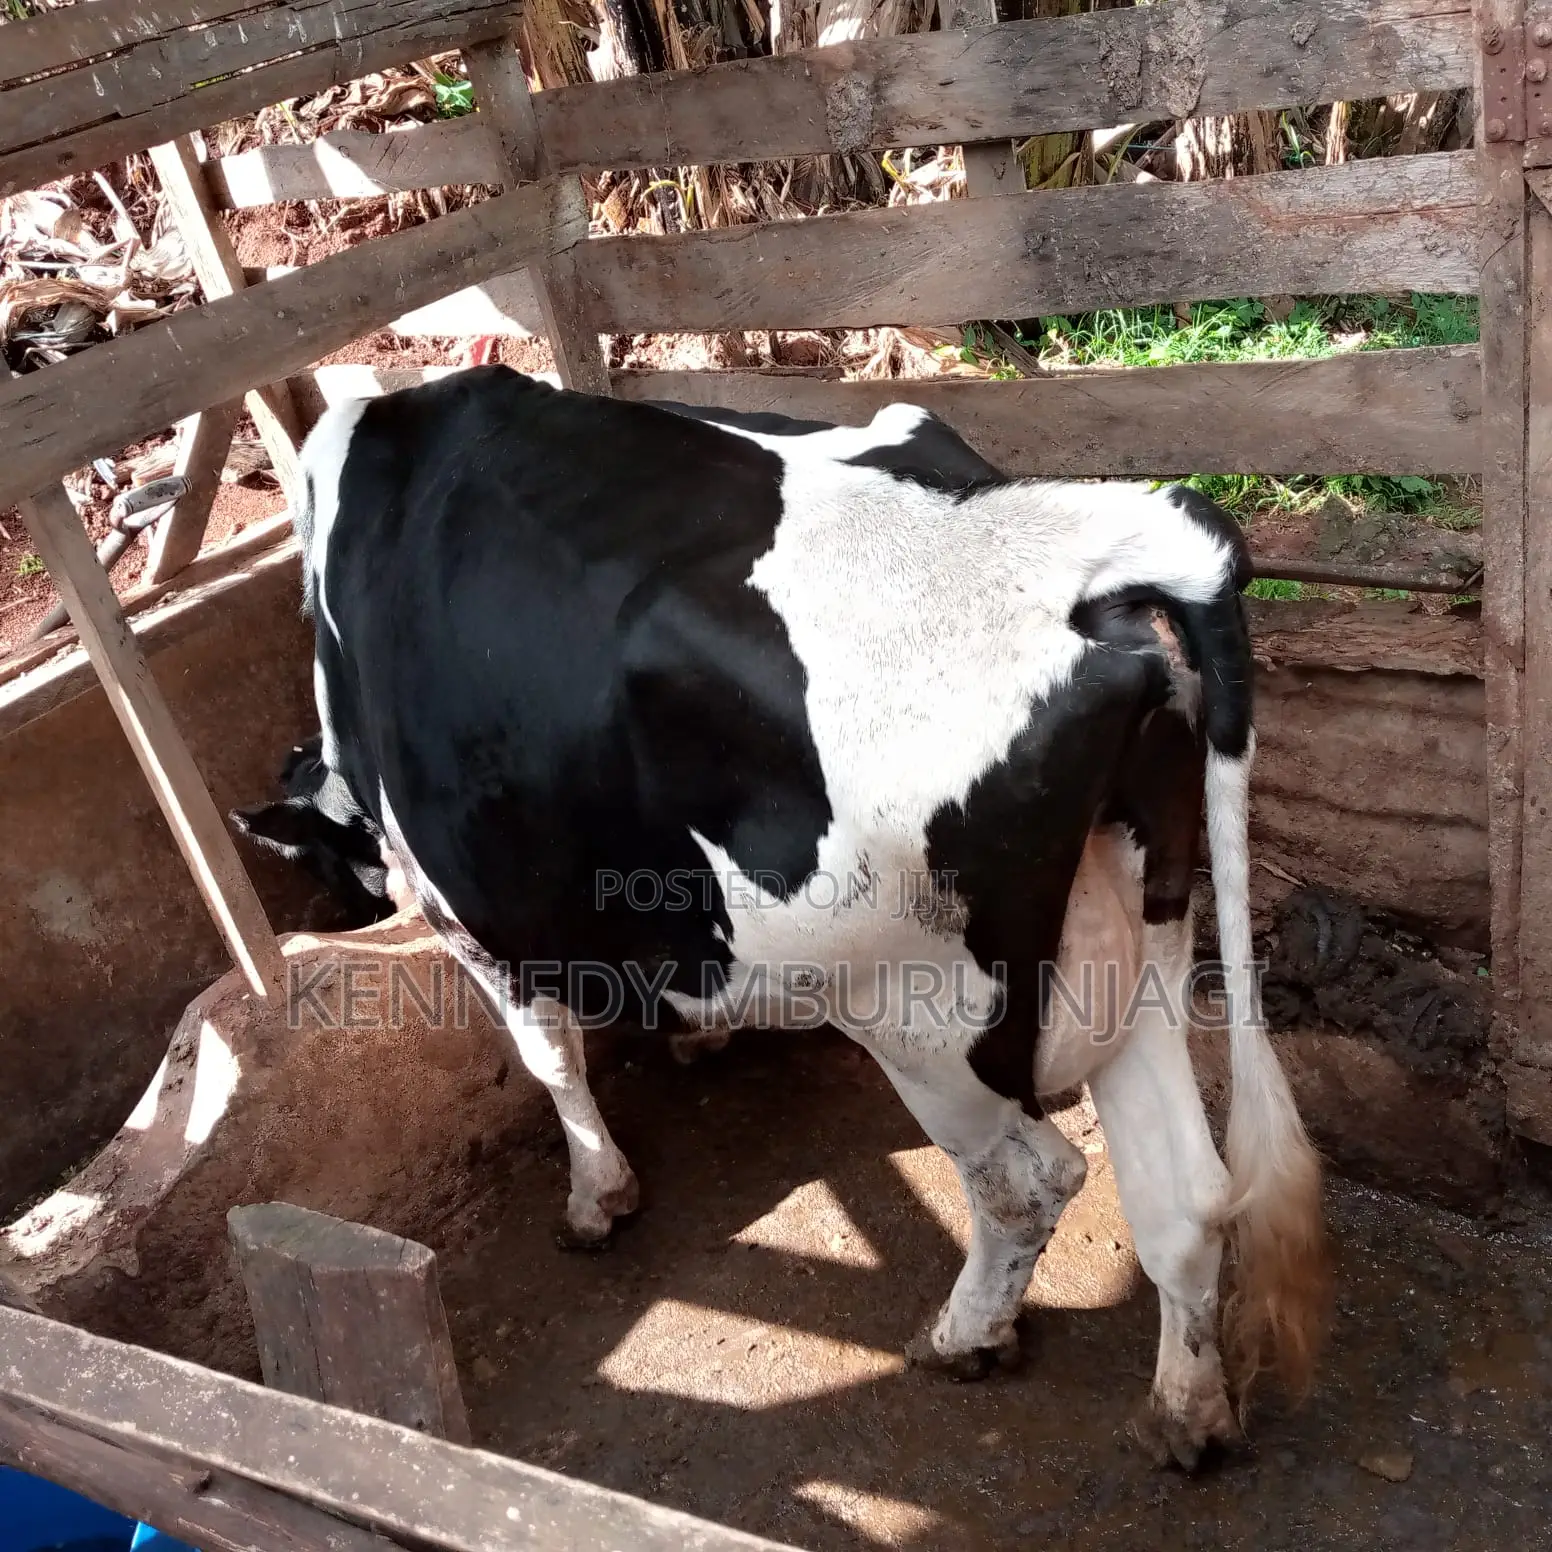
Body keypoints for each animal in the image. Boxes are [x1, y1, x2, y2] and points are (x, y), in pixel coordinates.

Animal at [233, 365, 1328, 1468]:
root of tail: (1094, 541)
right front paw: (695, 1042)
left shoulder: (469, 911)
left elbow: (550, 1060)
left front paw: (597, 1195)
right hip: (1140, 943)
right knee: (1182, 1198)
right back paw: (1186, 1410)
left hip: (921, 1016)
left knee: (1032, 1181)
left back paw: (966, 1335)